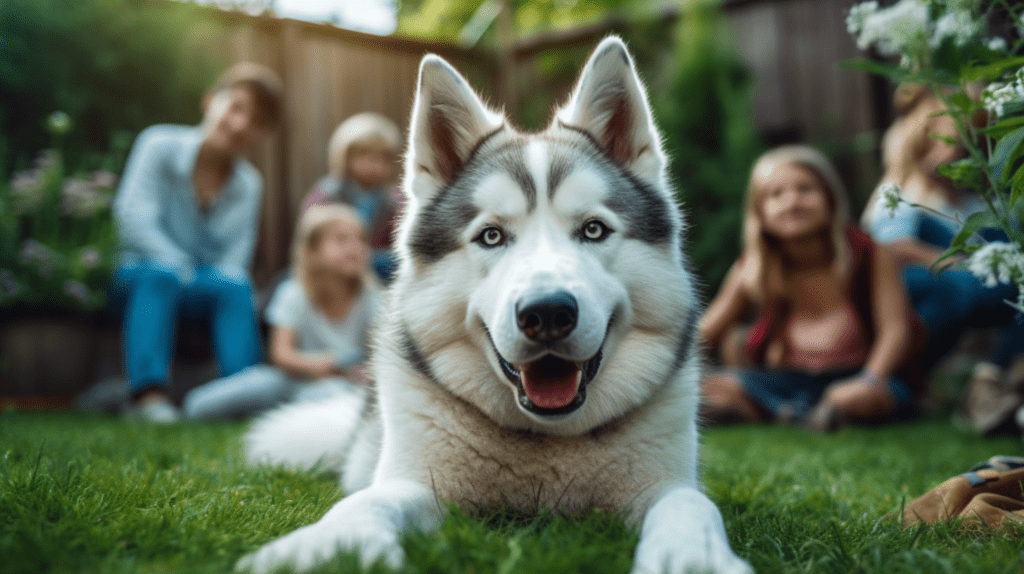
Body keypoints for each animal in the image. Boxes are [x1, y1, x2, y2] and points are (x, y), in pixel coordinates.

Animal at [239, 35, 753, 572]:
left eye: (594, 230)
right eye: (491, 235)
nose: (547, 313)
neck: (546, 443)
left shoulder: (667, 481)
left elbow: (690, 503)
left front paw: (692, 555)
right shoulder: (416, 480)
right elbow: (365, 502)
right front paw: (327, 546)